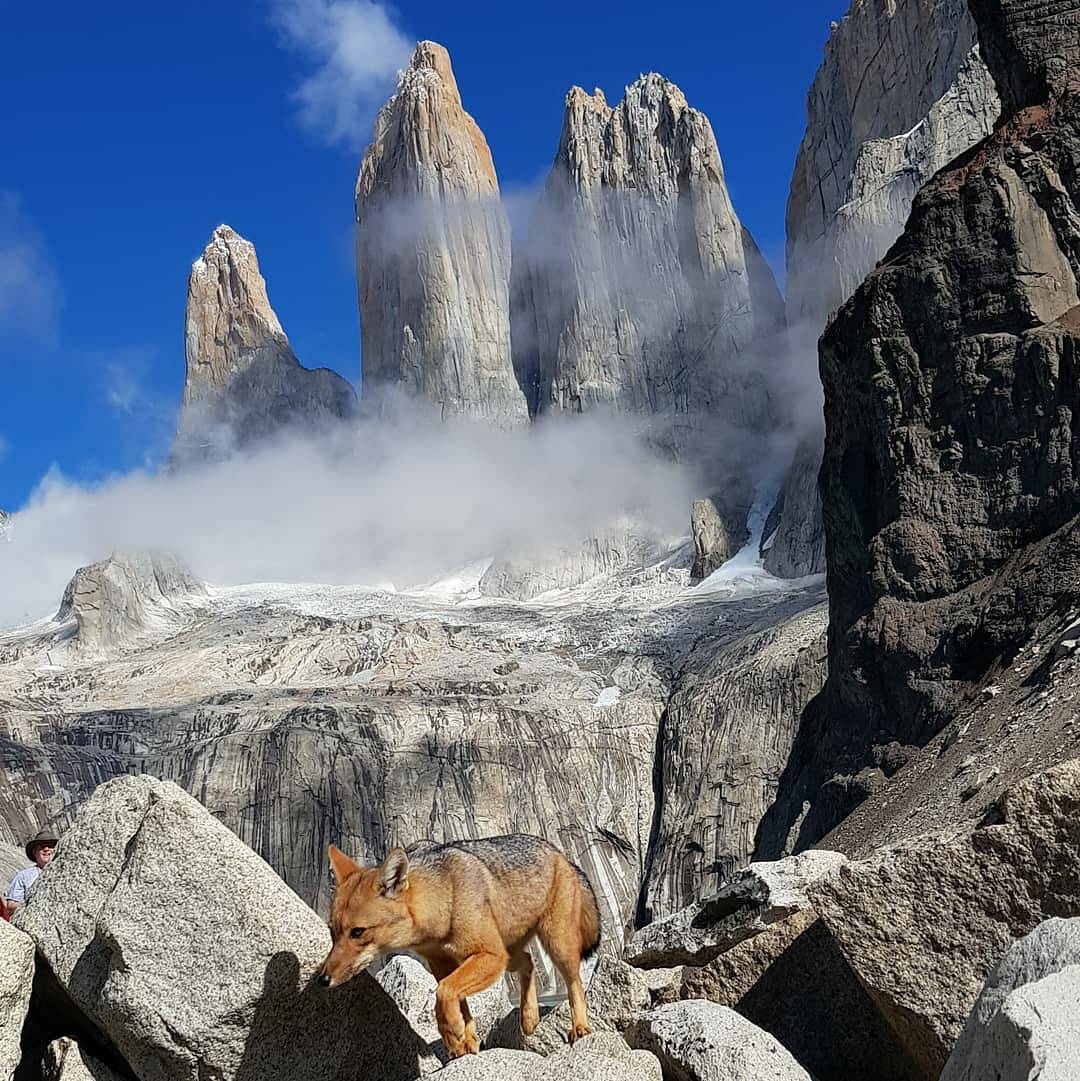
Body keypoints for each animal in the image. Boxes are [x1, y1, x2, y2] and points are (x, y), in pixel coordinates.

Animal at [318, 834, 602, 1058]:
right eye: (332, 932)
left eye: (357, 932)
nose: (323, 979)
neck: (443, 902)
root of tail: (561, 854)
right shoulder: (444, 964)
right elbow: (457, 999)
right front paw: (465, 1041)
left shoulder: (487, 954)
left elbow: (445, 992)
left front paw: (451, 1031)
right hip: (508, 958)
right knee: (528, 962)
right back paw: (529, 1017)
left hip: (554, 947)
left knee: (574, 984)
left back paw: (580, 1027)